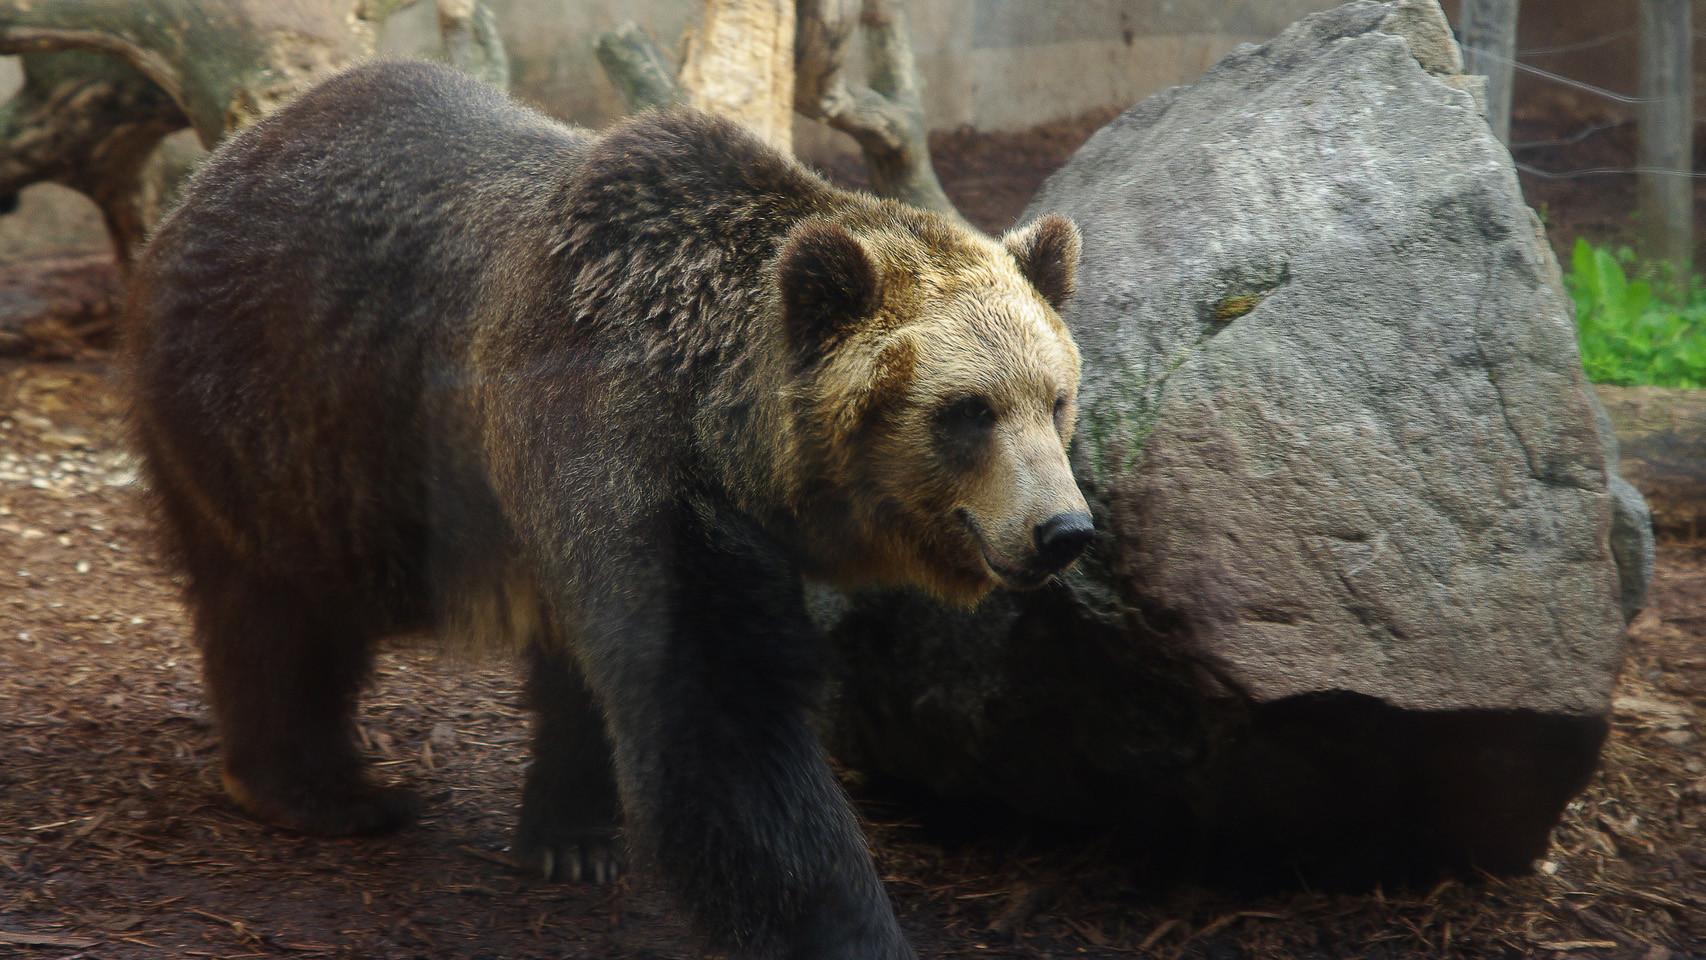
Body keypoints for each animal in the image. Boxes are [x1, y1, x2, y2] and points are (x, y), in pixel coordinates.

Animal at [126, 60, 1090, 960]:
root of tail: (224, 159)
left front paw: (576, 834)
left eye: (1056, 398)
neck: (722, 425)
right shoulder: (613, 445)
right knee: (279, 609)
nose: (1062, 531)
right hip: (288, 418)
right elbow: (719, 723)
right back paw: (319, 789)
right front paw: (848, 922)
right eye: (966, 410)